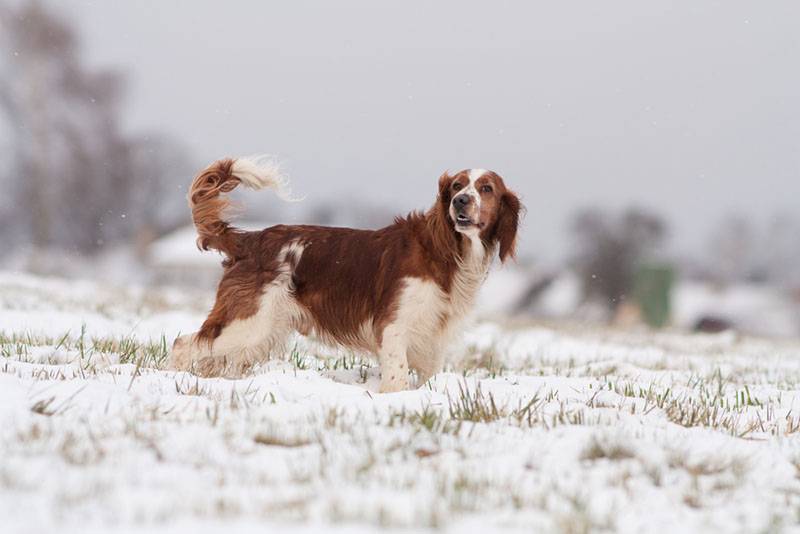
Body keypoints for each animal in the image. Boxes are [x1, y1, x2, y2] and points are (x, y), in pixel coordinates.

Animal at [167, 157, 520, 392]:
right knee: (183, 344)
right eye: (458, 185)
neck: (446, 250)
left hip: (258, 332)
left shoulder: (434, 334)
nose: (461, 201)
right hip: (248, 322)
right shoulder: (394, 325)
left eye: (486, 188)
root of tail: (250, 240)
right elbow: (397, 377)